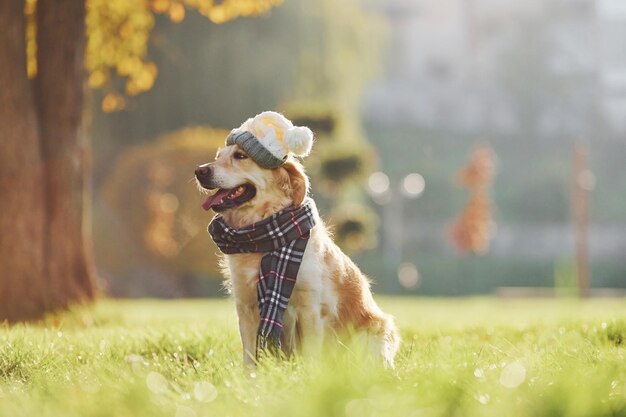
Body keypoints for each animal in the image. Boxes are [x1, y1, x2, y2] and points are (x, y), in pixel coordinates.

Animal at [195, 111, 400, 368]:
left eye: (240, 156)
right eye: (217, 156)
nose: (199, 171)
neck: (263, 237)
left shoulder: (309, 309)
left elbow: (311, 356)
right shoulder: (245, 306)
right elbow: (250, 359)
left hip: (373, 333)